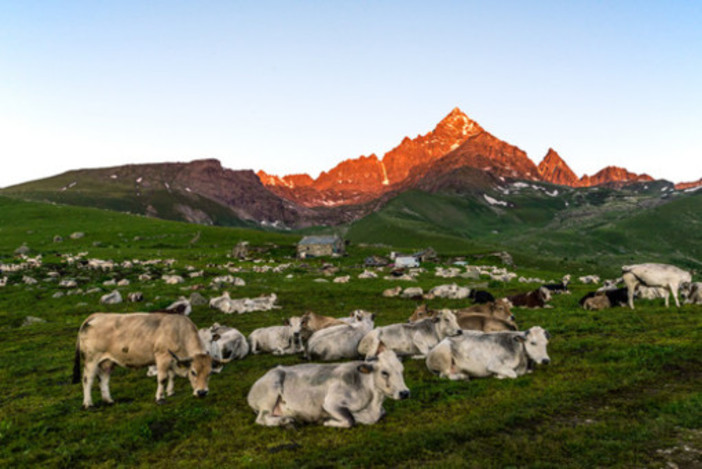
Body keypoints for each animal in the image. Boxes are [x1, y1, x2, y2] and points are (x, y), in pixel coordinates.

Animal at [72, 312, 227, 408]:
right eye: (193, 372)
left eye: (209, 373)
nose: (202, 392)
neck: (179, 331)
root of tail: (96, 316)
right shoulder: (162, 357)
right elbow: (163, 378)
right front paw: (160, 398)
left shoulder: (173, 360)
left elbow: (172, 376)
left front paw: (171, 392)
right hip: (91, 359)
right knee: (87, 379)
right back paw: (88, 404)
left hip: (107, 361)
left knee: (103, 378)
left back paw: (109, 400)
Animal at [249, 342, 410, 426]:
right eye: (384, 372)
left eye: (402, 370)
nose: (405, 393)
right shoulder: (331, 403)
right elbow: (350, 419)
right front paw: (327, 421)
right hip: (270, 394)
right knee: (262, 418)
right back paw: (287, 420)